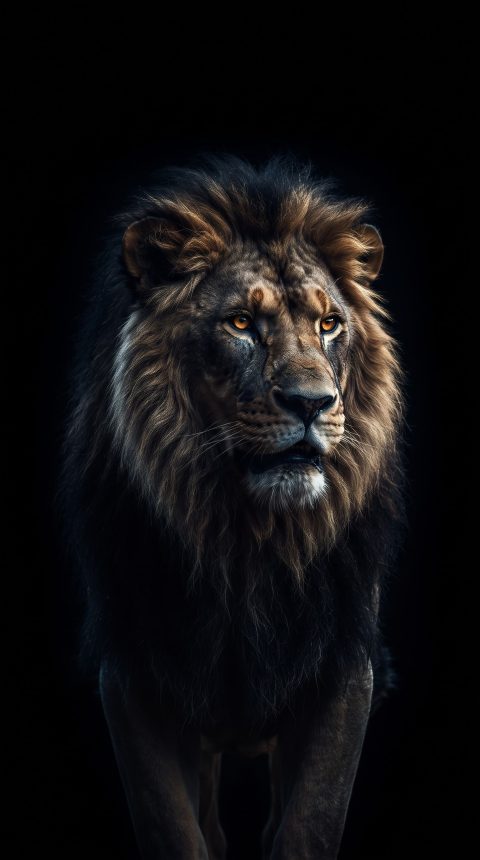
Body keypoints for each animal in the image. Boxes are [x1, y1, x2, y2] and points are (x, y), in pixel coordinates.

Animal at [61, 155, 405, 859]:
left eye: (329, 325)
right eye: (242, 324)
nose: (312, 403)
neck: (249, 540)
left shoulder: (344, 667)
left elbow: (306, 826)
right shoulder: (133, 671)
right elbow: (174, 829)